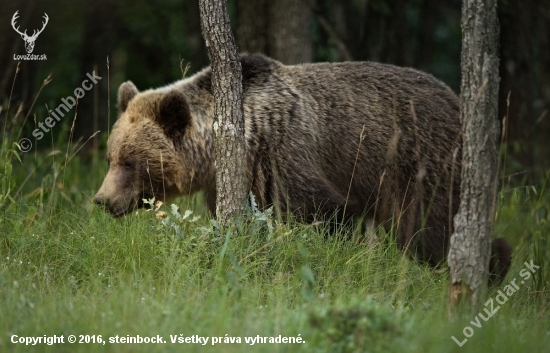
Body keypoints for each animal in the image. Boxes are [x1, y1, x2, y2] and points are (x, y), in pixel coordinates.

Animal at [95, 53, 512, 278]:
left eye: (130, 161)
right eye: (111, 156)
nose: (102, 200)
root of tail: (458, 100)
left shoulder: (281, 151)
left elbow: (326, 211)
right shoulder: (238, 178)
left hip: (422, 163)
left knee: (431, 227)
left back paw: (490, 265)